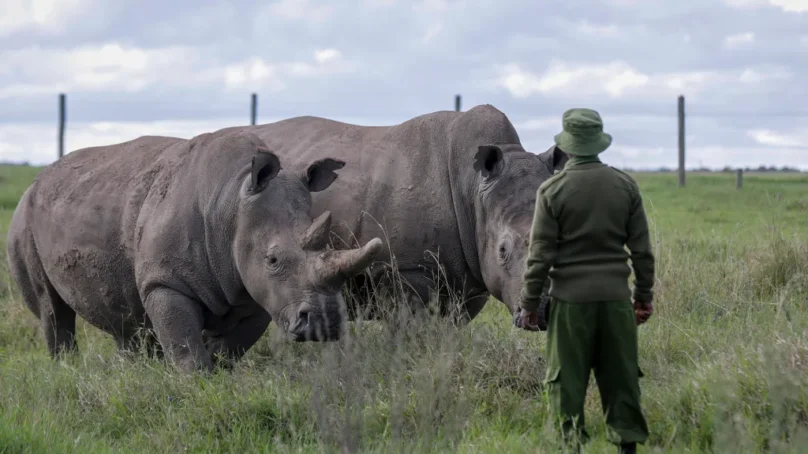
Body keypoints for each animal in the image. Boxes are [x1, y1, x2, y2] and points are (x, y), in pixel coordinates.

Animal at [6, 129, 383, 372]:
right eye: (273, 259)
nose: (326, 322)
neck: (232, 201)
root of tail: (38, 179)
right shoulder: (166, 281)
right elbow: (184, 342)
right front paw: (195, 382)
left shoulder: (254, 290)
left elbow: (231, 345)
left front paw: (218, 372)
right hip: (23, 218)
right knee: (51, 309)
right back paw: (65, 370)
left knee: (123, 311)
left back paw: (132, 371)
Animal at [214, 104, 568, 325]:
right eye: (503, 250)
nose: (544, 312)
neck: (474, 190)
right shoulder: (405, 268)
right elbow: (413, 332)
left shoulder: (473, 271)